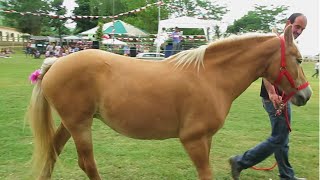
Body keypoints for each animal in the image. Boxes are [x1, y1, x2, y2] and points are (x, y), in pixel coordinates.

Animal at [27, 25, 312, 180]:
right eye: (298, 59)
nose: (306, 95)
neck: (210, 77)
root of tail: (56, 62)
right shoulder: (193, 140)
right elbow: (205, 173)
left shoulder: (206, 139)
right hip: (80, 126)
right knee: (87, 164)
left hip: (72, 124)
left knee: (53, 152)